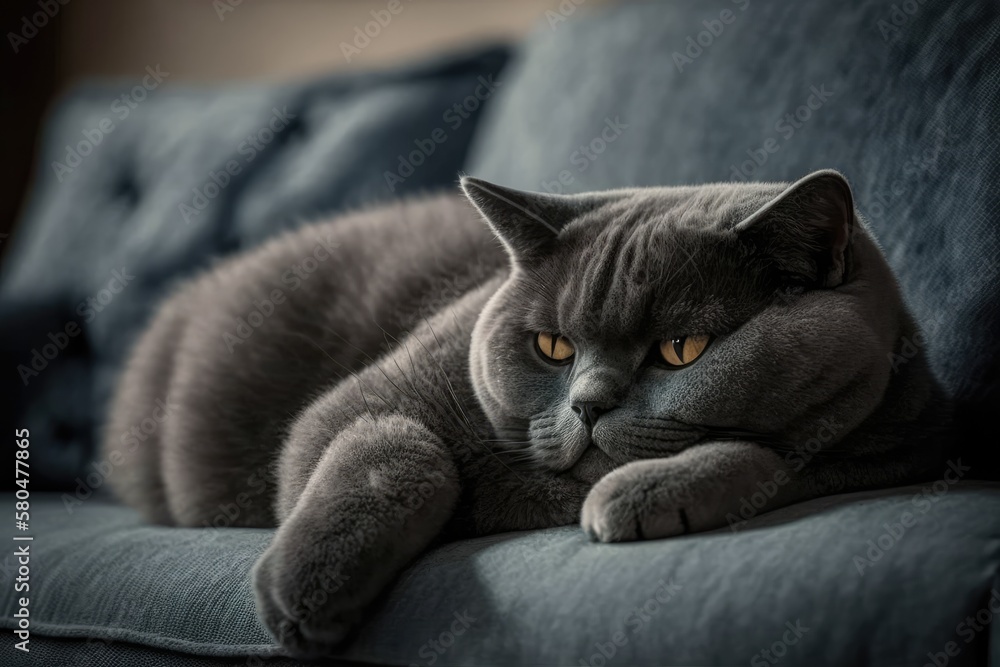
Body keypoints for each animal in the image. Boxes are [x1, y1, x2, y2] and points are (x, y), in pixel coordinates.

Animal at [103, 171, 952, 656]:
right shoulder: (359, 403)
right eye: (552, 345)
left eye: (681, 349)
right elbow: (398, 444)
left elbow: (775, 458)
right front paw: (305, 593)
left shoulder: (899, 449)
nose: (587, 402)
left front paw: (638, 497)